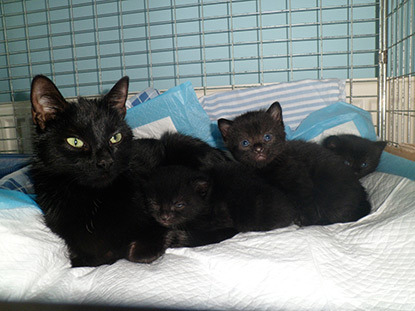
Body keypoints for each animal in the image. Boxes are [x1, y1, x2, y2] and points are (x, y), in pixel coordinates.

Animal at [30, 75, 167, 268]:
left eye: (115, 137)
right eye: (75, 141)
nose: (106, 162)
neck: (94, 199)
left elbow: (137, 251)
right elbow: (91, 254)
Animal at [219, 102, 372, 227]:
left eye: (267, 136)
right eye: (245, 142)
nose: (258, 148)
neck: (267, 167)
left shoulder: (300, 182)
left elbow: (306, 203)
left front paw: (307, 222)